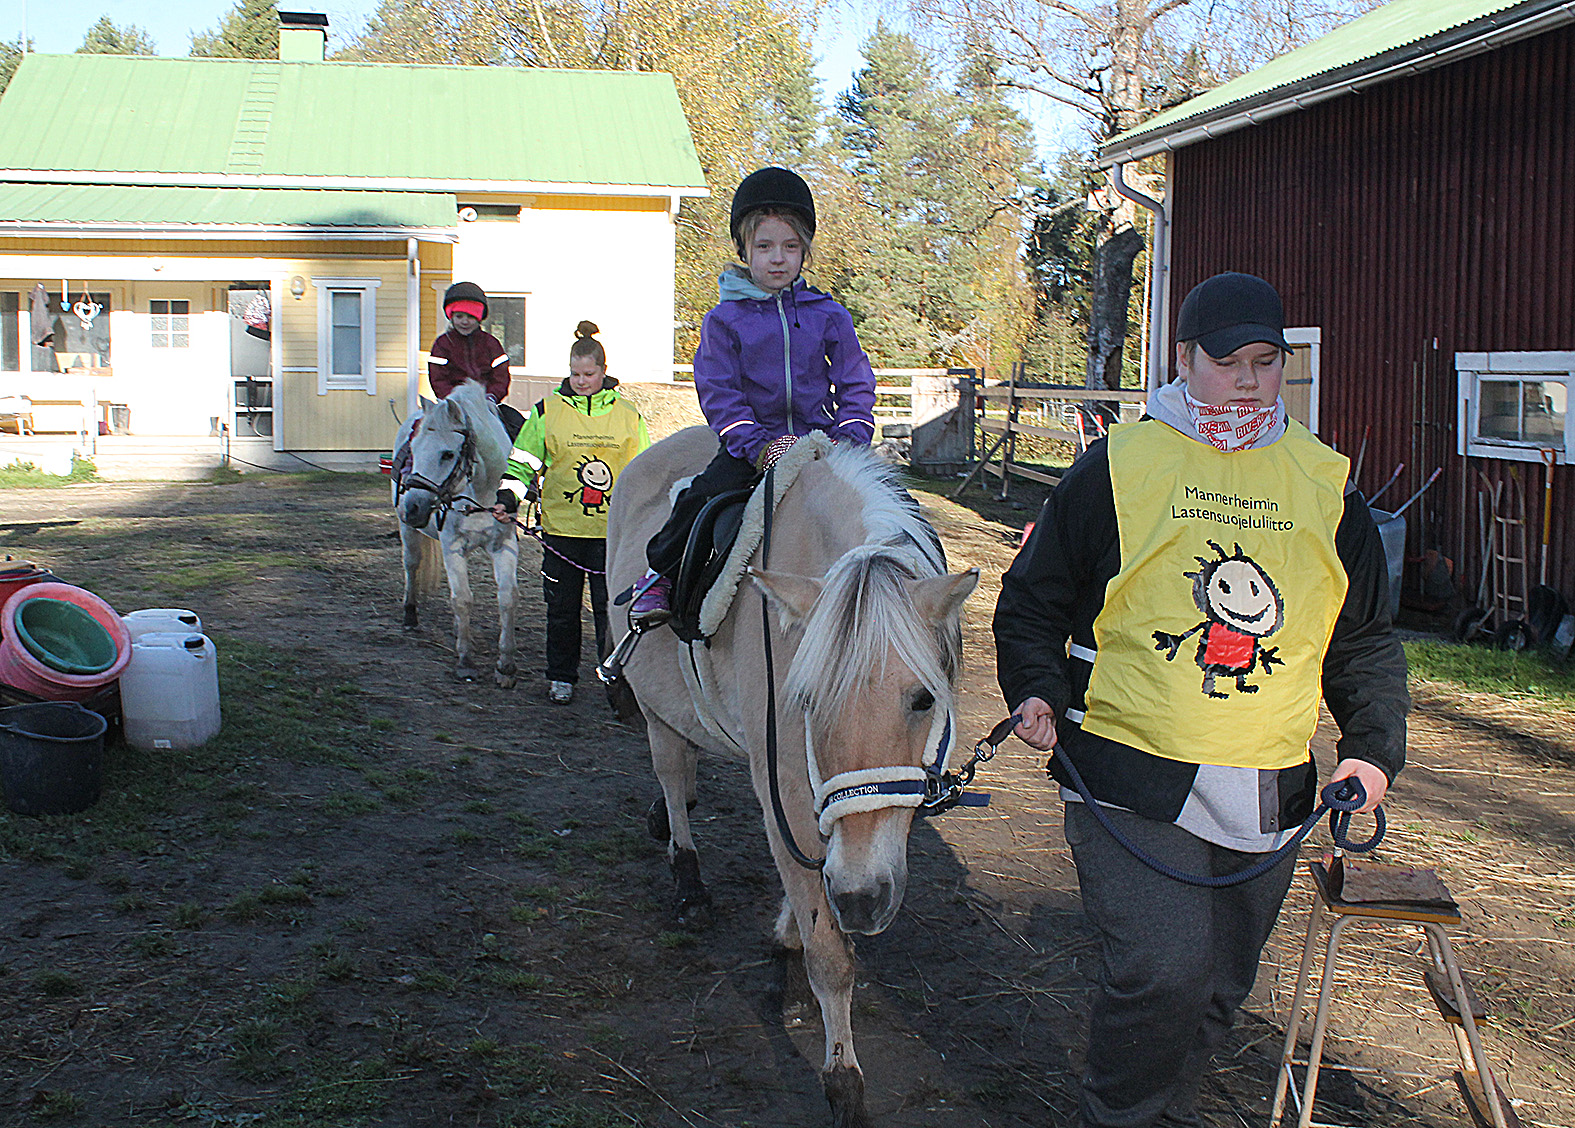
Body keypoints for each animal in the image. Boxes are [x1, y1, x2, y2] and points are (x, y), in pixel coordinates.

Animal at [393, 381, 522, 686]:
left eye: (448, 454)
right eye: (414, 448)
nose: (413, 508)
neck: (482, 492)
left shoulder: (504, 545)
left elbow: (507, 598)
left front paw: (506, 665)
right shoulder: (453, 544)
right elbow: (462, 599)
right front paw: (465, 660)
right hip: (407, 531)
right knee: (411, 565)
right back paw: (410, 615)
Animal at [607, 425, 976, 1128]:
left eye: (924, 699)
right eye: (804, 699)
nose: (863, 901)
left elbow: (815, 883)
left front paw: (787, 936)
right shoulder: (781, 785)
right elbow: (831, 956)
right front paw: (843, 1085)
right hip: (653, 705)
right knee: (670, 766)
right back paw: (687, 875)